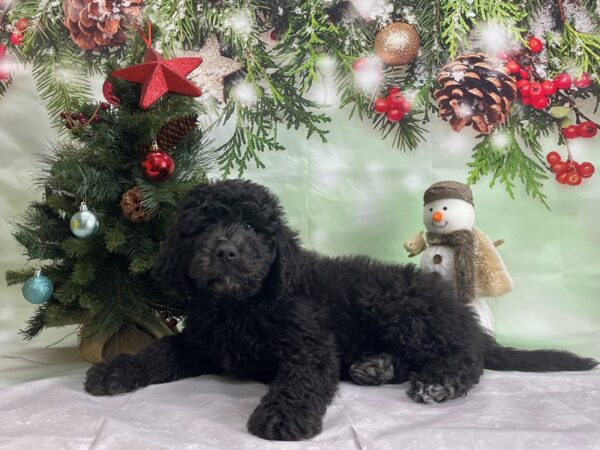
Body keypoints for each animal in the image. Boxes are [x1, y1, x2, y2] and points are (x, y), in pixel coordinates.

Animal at [85, 178, 600, 440]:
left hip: (395, 307)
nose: (227, 251)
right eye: (202, 228)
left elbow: (301, 379)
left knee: (466, 358)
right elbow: (159, 351)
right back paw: (375, 367)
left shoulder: (310, 343)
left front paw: (281, 417)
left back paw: (437, 382)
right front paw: (115, 371)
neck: (241, 306)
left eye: (251, 228)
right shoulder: (199, 342)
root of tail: (456, 309)